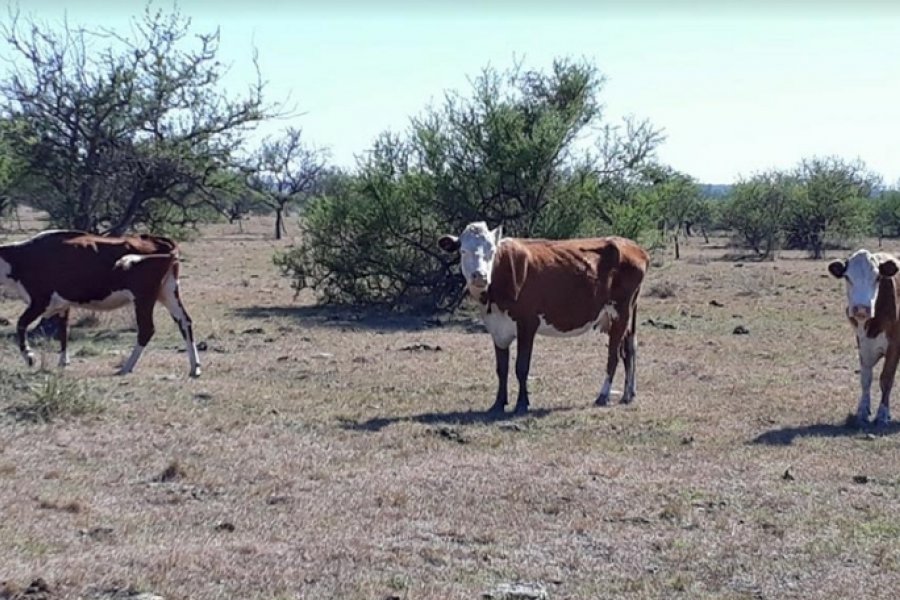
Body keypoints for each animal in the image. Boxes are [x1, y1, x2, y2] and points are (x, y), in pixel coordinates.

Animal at [0, 229, 201, 377]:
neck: (21, 257)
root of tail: (163, 241)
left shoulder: (40, 301)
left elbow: (21, 324)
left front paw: (29, 357)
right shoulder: (63, 304)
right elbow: (63, 332)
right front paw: (63, 362)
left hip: (144, 297)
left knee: (146, 329)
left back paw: (126, 367)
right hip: (168, 292)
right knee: (185, 321)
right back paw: (195, 367)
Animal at [438, 221, 649, 414]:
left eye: (492, 250)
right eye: (463, 251)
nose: (480, 276)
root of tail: (633, 246)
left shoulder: (527, 323)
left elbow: (521, 367)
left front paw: (522, 404)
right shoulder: (497, 328)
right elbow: (502, 368)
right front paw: (498, 404)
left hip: (621, 311)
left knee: (613, 354)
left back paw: (603, 395)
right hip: (621, 315)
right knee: (629, 347)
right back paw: (628, 394)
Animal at [828, 248, 900, 426]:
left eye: (877, 277)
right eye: (847, 277)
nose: (861, 308)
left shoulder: (895, 345)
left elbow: (886, 378)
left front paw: (882, 414)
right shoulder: (862, 342)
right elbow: (865, 378)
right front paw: (863, 411)